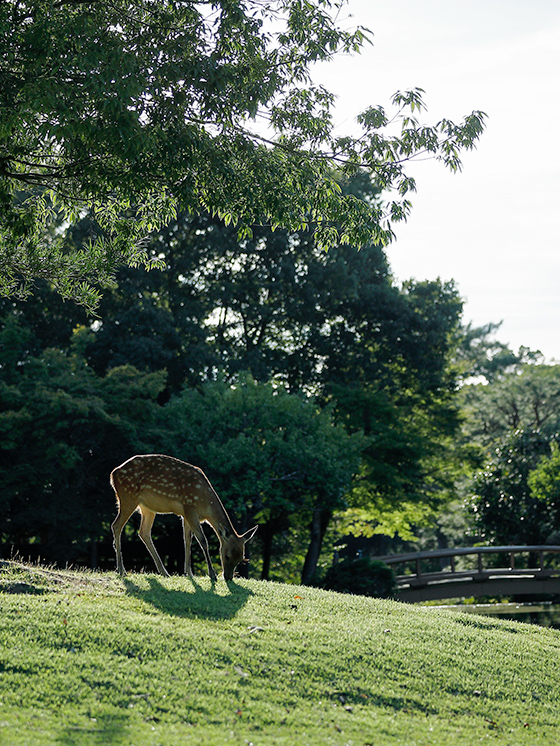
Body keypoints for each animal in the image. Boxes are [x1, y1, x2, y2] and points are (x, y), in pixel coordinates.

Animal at [110, 454, 258, 580]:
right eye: (226, 556)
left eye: (241, 559)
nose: (228, 577)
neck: (206, 505)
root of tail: (113, 474)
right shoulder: (190, 507)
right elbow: (203, 541)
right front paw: (212, 575)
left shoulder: (187, 515)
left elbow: (187, 541)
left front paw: (189, 573)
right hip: (128, 496)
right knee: (116, 525)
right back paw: (121, 570)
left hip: (147, 507)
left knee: (144, 532)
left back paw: (164, 572)